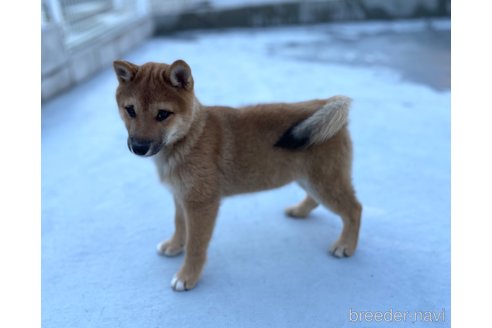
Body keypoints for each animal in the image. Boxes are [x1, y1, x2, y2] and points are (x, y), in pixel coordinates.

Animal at [113, 59, 364, 292]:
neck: (190, 138)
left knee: (354, 209)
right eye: (130, 110)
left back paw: (345, 246)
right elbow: (179, 225)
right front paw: (174, 246)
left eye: (163, 114)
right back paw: (299, 211)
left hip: (324, 182)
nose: (138, 147)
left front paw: (187, 276)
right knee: (318, 201)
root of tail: (326, 102)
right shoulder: (181, 197)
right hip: (308, 179)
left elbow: (196, 246)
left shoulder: (201, 204)